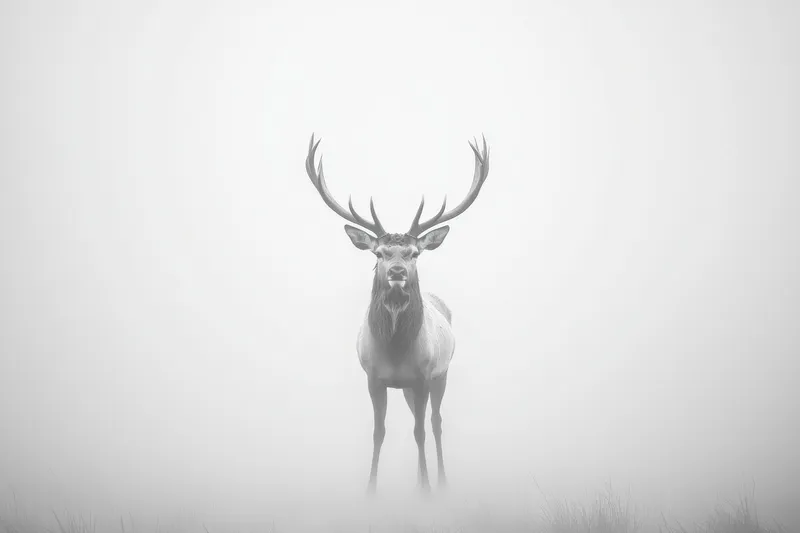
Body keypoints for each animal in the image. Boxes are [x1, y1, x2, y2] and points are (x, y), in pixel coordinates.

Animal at [302, 133, 490, 494]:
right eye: (379, 253)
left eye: (415, 253)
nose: (398, 272)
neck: (395, 350)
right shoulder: (374, 377)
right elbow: (379, 432)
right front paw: (371, 491)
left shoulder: (422, 376)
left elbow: (420, 431)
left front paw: (427, 491)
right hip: (406, 387)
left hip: (441, 374)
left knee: (434, 423)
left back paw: (440, 482)